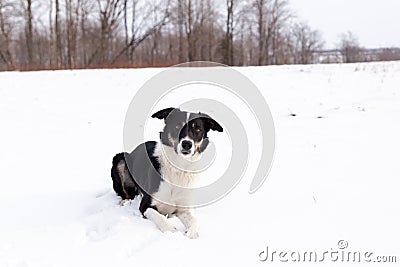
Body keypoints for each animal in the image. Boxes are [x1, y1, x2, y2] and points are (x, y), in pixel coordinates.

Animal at [111, 108, 223, 240]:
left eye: (198, 129)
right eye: (177, 126)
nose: (187, 144)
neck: (178, 168)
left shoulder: (184, 208)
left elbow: (195, 221)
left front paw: (191, 234)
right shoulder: (145, 206)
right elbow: (160, 217)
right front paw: (172, 232)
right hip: (120, 159)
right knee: (125, 193)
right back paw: (124, 202)